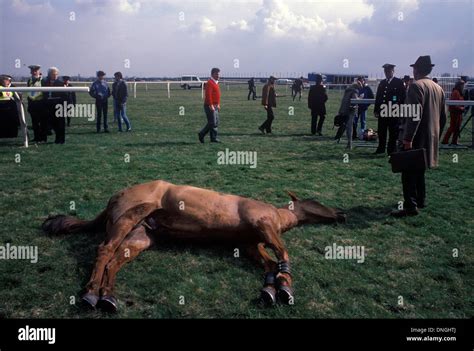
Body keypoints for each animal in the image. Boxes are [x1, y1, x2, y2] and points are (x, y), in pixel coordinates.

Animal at [42, 182, 346, 314]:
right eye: (316, 201)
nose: (341, 213)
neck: (278, 215)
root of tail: (115, 196)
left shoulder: (250, 244)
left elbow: (271, 264)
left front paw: (274, 288)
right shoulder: (263, 225)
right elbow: (283, 254)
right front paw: (284, 287)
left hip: (140, 236)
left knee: (115, 259)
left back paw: (108, 296)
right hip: (126, 219)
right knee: (104, 250)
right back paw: (91, 293)